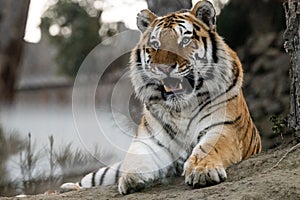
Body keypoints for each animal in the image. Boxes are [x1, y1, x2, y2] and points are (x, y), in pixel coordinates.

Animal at [61, 0, 260, 194]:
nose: (164, 68)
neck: (183, 108)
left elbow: (207, 149)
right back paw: (68, 188)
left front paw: (201, 170)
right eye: (155, 45)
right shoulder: (150, 140)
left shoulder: (223, 128)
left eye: (185, 41)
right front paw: (132, 177)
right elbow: (136, 158)